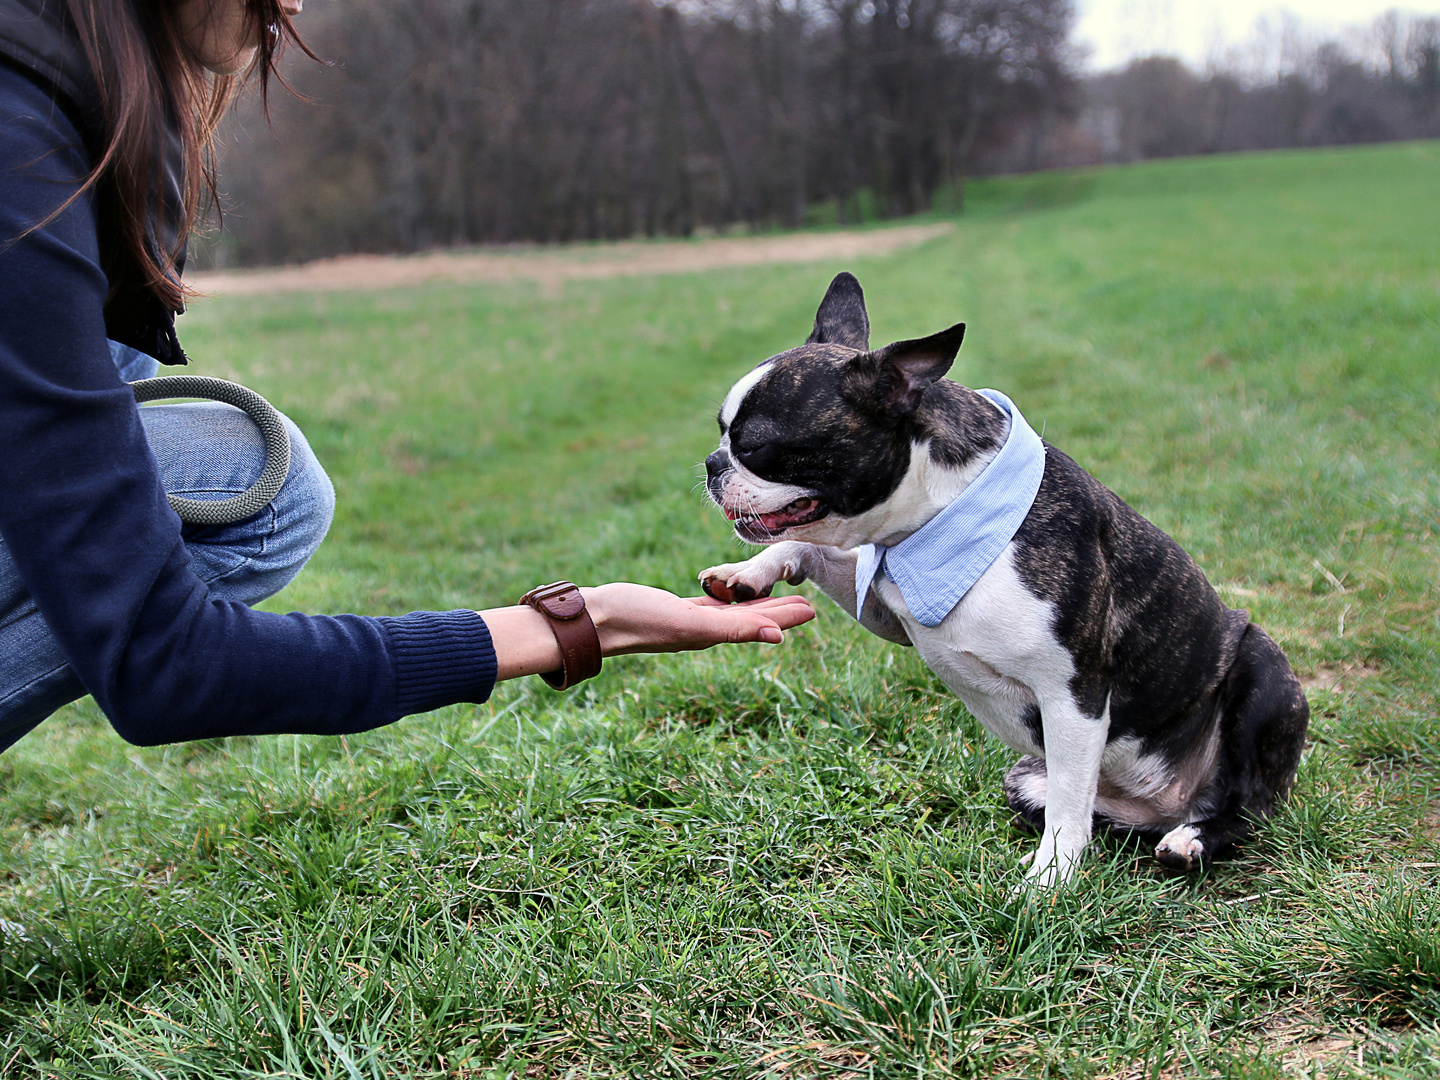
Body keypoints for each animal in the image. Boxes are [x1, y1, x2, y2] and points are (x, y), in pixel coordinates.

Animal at [696, 272, 1307, 887]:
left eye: (755, 445)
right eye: (723, 434)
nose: (712, 464)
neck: (931, 516)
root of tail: (1176, 803)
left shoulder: (1073, 694)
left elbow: (1068, 805)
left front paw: (1050, 879)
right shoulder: (889, 605)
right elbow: (810, 546)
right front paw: (746, 574)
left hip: (1262, 671)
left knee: (1246, 809)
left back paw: (1194, 841)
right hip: (1028, 779)